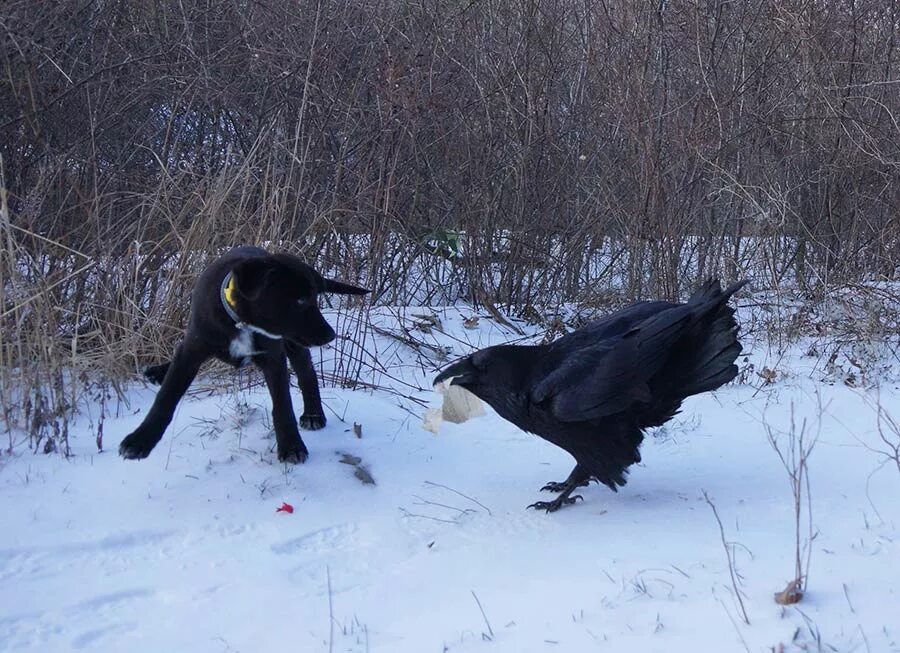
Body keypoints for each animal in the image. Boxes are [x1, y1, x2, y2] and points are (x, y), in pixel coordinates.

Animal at [120, 246, 370, 464]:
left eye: (315, 298)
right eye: (300, 300)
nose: (330, 335)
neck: (241, 323)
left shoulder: (273, 357)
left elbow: (283, 405)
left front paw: (291, 446)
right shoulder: (192, 348)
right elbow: (166, 397)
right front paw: (140, 440)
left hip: (294, 344)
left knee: (307, 374)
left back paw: (314, 415)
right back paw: (158, 372)